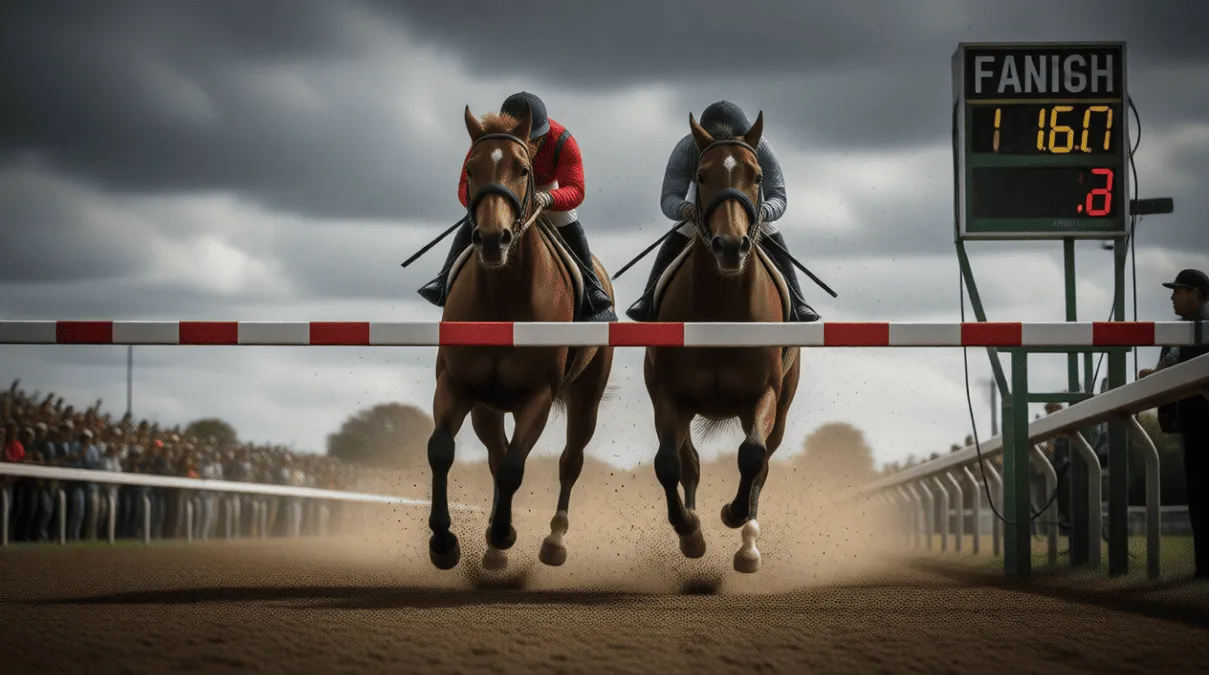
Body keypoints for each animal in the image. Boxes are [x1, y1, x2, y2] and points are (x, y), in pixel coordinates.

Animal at [424, 104, 616, 572]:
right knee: (496, 453)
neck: (503, 300)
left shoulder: (540, 394)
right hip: (488, 405)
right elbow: (442, 449)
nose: (493, 239)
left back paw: (553, 540)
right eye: (470, 169)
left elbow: (516, 466)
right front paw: (444, 541)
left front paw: (502, 533)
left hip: (586, 398)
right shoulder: (456, 384)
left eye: (523, 169)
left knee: (570, 461)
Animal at [641, 110, 802, 573]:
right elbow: (669, 463)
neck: (721, 313)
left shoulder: (765, 393)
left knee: (763, 462)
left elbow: (752, 456)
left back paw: (748, 542)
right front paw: (690, 532)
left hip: (781, 405)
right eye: (701, 175)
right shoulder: (668, 395)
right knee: (689, 462)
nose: (730, 246)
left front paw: (733, 515)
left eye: (758, 175)